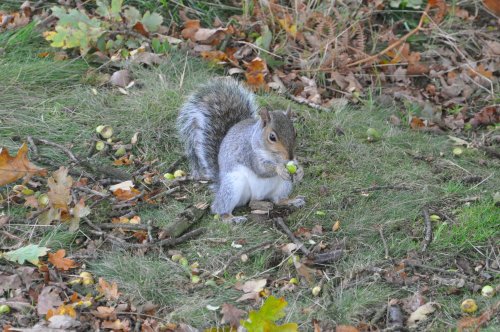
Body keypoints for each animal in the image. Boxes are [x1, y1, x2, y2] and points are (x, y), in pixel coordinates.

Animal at [178, 77, 302, 222]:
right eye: (272, 137)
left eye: (296, 133)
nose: (290, 157)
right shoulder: (248, 153)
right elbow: (261, 169)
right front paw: (279, 169)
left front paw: (300, 170)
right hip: (233, 185)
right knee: (218, 208)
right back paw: (230, 218)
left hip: (283, 185)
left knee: (278, 200)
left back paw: (291, 201)